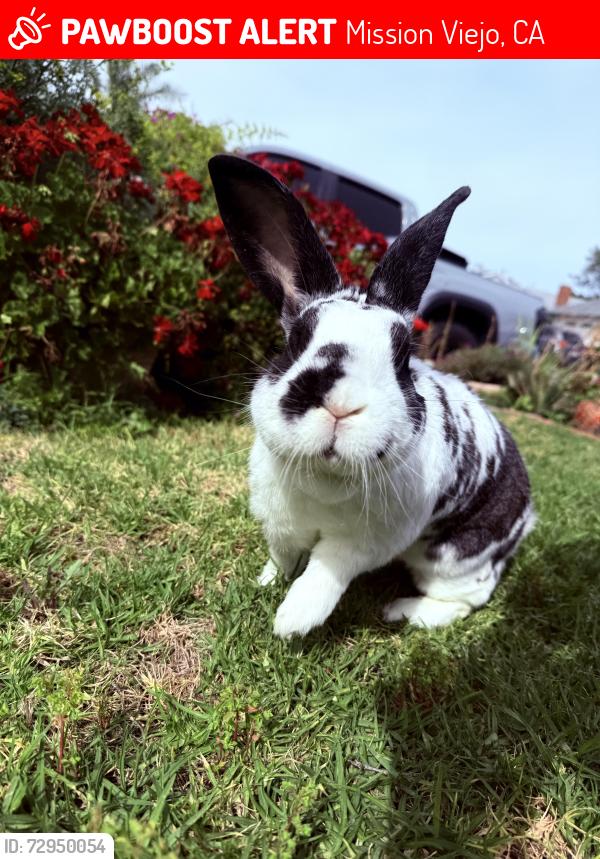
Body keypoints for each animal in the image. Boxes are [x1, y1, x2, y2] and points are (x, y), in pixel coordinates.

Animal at [208, 154, 536, 639]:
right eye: (296, 341)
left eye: (402, 358)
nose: (341, 405)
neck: (326, 482)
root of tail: (525, 517)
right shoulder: (281, 524)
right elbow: (284, 558)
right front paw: (266, 582)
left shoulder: (364, 543)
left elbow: (326, 571)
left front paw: (292, 620)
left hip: (453, 558)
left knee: (467, 601)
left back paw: (403, 610)